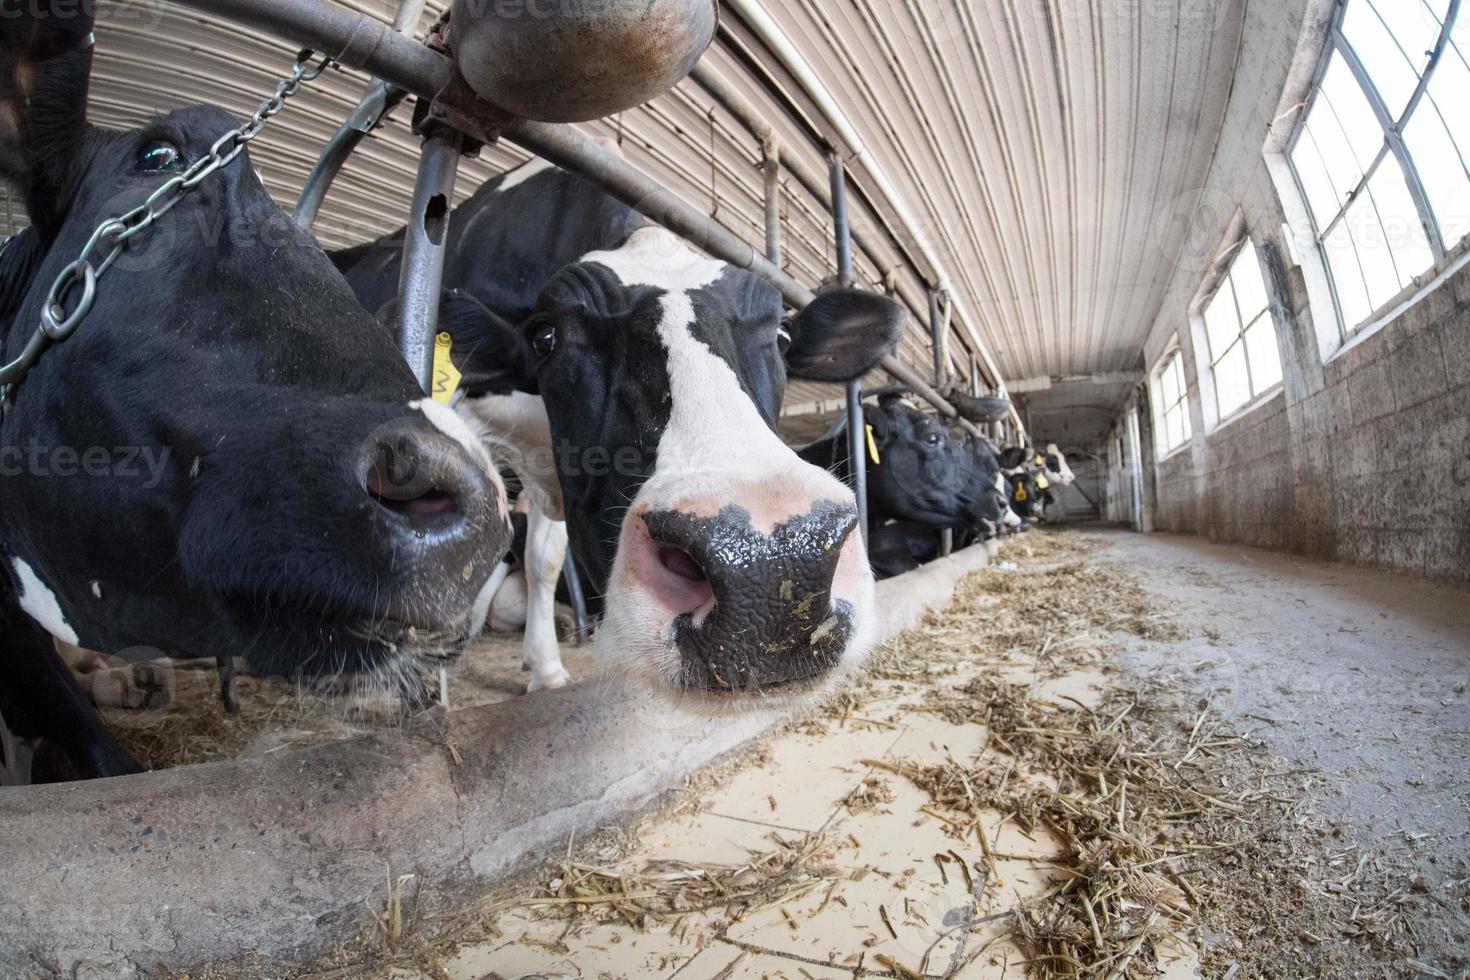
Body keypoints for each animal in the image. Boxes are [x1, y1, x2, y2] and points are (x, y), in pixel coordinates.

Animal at [336, 160, 905, 702]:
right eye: (545, 337)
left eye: (783, 335)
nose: (771, 564)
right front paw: (423, 689)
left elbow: (543, 558)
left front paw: (544, 669)